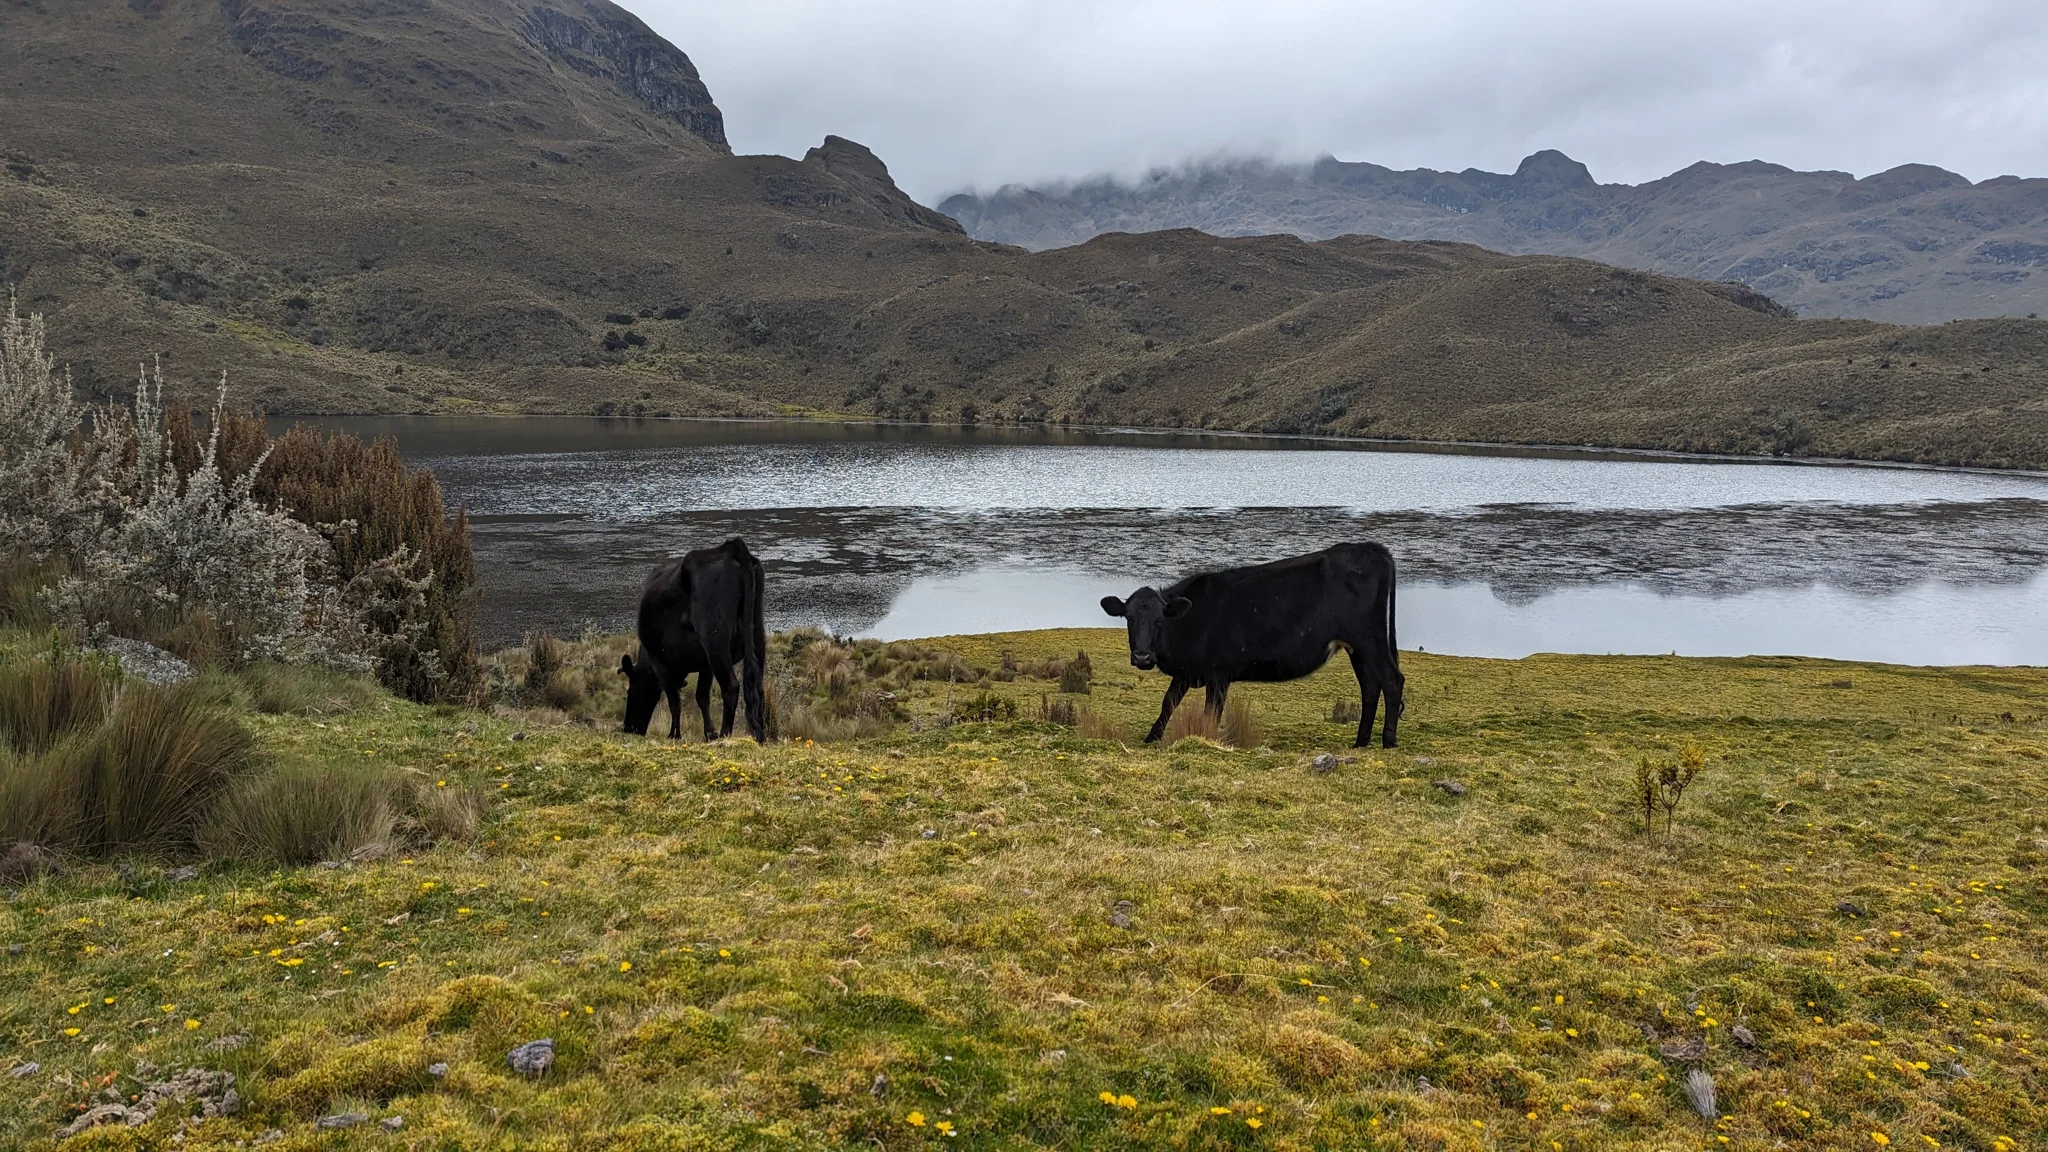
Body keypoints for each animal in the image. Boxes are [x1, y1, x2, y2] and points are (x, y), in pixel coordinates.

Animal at [619, 538, 768, 741]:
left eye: (629, 691)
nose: (628, 727)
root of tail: (733, 547)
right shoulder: (705, 665)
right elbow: (702, 697)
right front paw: (709, 733)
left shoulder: (661, 663)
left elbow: (674, 700)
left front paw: (674, 735)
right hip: (756, 634)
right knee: (757, 688)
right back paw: (760, 737)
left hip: (715, 641)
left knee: (731, 686)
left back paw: (725, 734)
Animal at [1100, 542, 1404, 748]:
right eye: (1129, 618)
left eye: (1160, 619)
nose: (1142, 656)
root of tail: (1372, 548)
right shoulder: (1187, 672)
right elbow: (1168, 703)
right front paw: (1152, 737)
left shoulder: (1219, 673)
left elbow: (1211, 712)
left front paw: (1206, 739)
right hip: (1358, 647)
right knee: (1370, 686)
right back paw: (1361, 741)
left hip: (1369, 639)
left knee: (1391, 680)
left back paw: (1388, 741)